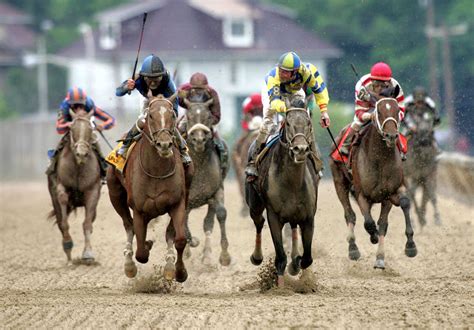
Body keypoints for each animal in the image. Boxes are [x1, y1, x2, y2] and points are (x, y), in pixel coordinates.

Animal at [46, 109, 101, 264]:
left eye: (90, 128)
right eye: (71, 128)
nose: (81, 153)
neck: (78, 167)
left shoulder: (93, 191)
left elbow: (87, 224)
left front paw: (88, 254)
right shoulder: (61, 186)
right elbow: (64, 221)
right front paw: (68, 245)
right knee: (60, 221)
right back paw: (69, 256)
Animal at [107, 93, 193, 284]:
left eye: (172, 115)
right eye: (151, 116)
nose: (164, 144)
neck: (156, 170)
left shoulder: (177, 203)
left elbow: (179, 239)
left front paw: (180, 272)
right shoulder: (139, 209)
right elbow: (141, 252)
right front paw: (144, 247)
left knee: (169, 233)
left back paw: (168, 266)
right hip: (115, 194)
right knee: (128, 225)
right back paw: (129, 264)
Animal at [182, 97, 231, 266]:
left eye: (208, 116)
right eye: (188, 116)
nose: (199, 139)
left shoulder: (217, 190)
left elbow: (220, 214)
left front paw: (224, 256)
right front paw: (192, 242)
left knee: (208, 222)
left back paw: (206, 256)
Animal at [244, 94, 318, 286]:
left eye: (309, 123)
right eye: (289, 123)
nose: (300, 149)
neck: (292, 183)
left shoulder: (308, 216)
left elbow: (307, 258)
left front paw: (297, 267)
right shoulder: (274, 216)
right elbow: (280, 258)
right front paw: (280, 287)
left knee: (293, 227)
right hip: (254, 204)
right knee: (258, 221)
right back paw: (256, 257)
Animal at [330, 86, 418, 270]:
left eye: (397, 110)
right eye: (378, 111)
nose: (391, 136)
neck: (380, 159)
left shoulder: (390, 193)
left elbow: (395, 212)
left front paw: (408, 246)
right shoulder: (361, 193)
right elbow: (369, 223)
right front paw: (373, 236)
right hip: (339, 182)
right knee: (350, 214)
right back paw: (353, 248)